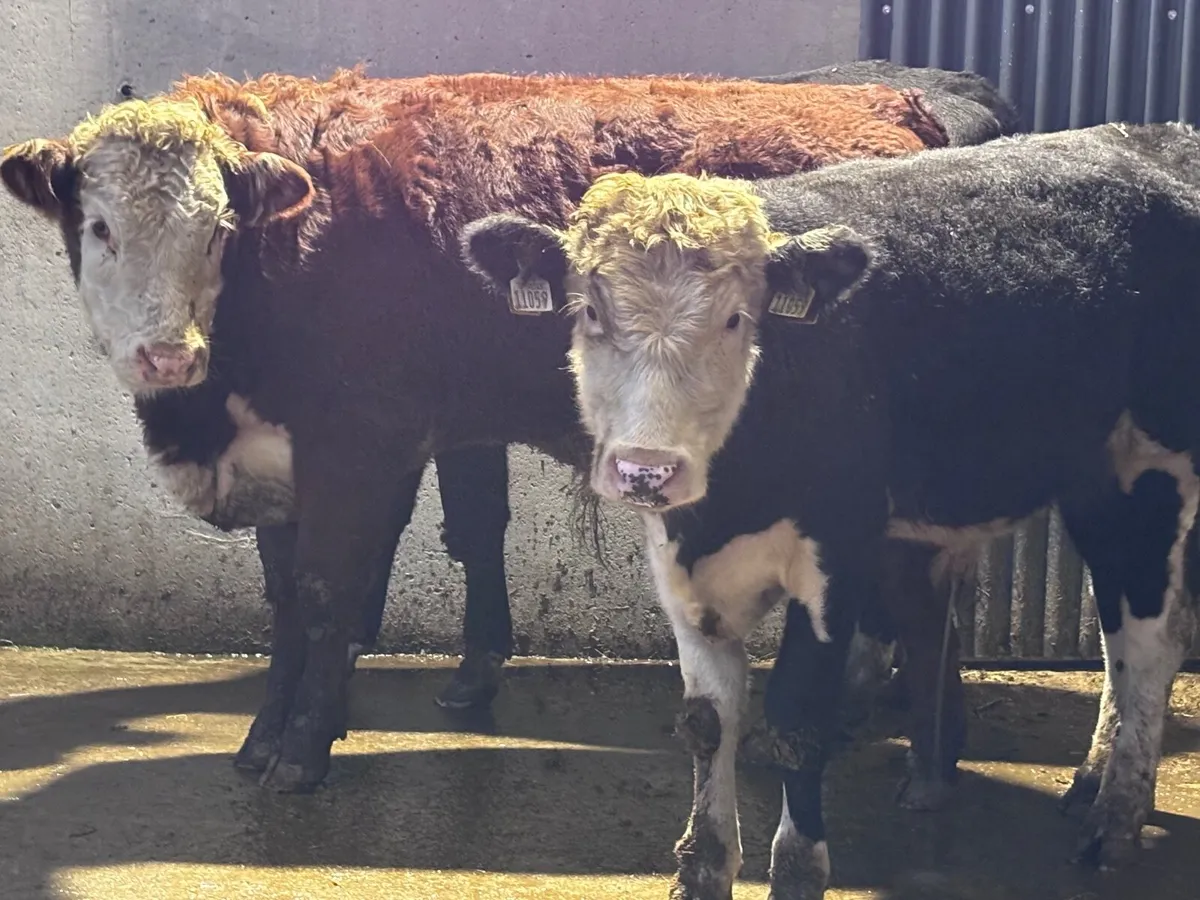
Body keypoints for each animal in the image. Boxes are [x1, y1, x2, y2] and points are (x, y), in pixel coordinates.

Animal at [0, 66, 965, 795]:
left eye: (217, 230)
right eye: (98, 226)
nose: (167, 353)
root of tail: (893, 105)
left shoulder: (362, 448)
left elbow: (330, 593)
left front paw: (303, 752)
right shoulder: (284, 458)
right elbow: (287, 600)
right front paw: (264, 737)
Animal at [458, 122, 1200, 897]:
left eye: (736, 318)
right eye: (590, 312)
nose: (646, 468)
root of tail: (1159, 138)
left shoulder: (839, 555)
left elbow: (797, 718)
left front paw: (797, 867)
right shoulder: (677, 559)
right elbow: (707, 719)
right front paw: (703, 866)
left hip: (1152, 469)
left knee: (1151, 636)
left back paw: (1116, 815)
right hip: (1091, 481)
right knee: (1120, 631)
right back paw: (1090, 781)